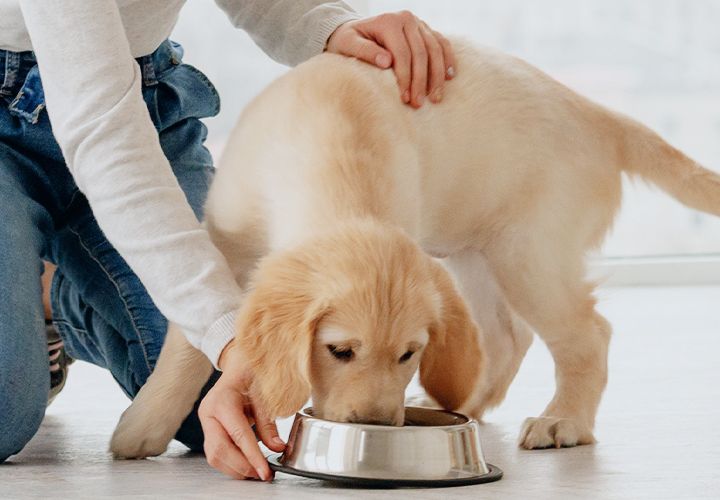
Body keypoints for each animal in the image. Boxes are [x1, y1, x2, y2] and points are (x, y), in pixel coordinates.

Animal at [108, 39, 720, 458]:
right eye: (339, 350)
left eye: (409, 355)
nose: (377, 426)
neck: (334, 152)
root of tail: (601, 117)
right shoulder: (224, 241)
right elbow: (188, 345)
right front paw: (144, 426)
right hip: (477, 250)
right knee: (505, 338)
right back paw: (462, 404)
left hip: (527, 251)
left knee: (587, 333)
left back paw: (563, 421)